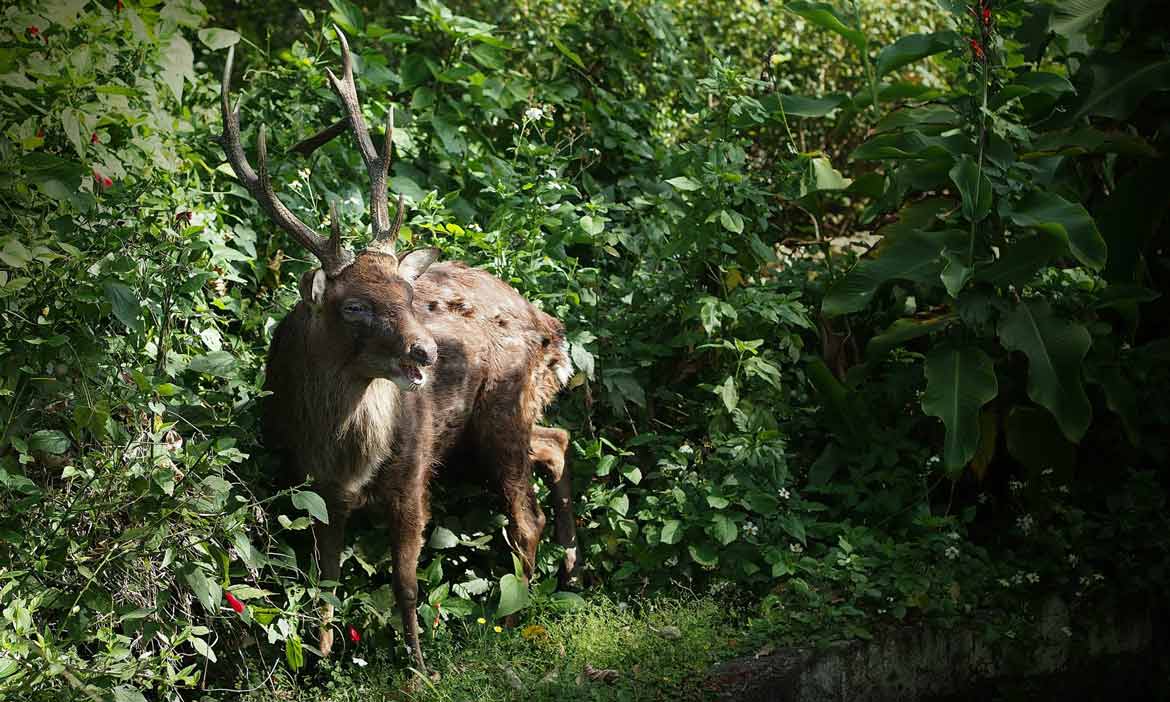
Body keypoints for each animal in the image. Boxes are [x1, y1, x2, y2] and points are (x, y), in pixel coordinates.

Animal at [218, 30, 575, 673]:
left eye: (408, 294)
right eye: (354, 306)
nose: (428, 351)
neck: (343, 454)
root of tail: (549, 328)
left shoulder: (412, 475)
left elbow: (405, 581)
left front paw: (417, 667)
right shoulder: (315, 488)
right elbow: (325, 579)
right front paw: (320, 660)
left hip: (502, 407)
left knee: (525, 516)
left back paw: (519, 613)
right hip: (498, 422)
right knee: (557, 441)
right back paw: (570, 570)